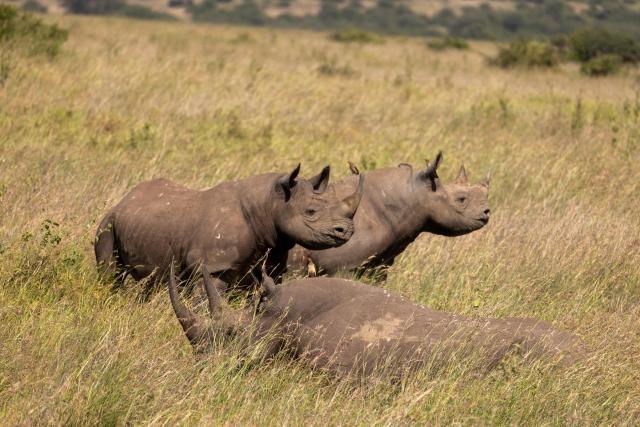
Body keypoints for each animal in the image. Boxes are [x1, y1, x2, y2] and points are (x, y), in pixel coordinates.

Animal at [95, 165, 364, 296]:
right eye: (310, 212)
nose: (347, 231)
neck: (269, 203)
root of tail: (124, 200)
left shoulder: (274, 256)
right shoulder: (213, 265)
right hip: (107, 223)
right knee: (110, 273)